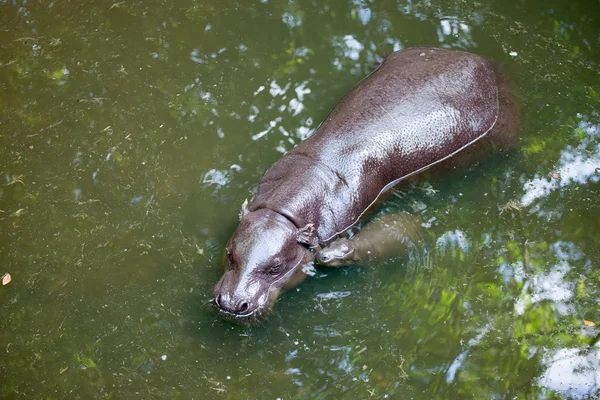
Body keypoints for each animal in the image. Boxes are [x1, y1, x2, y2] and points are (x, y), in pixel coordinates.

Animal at [213, 47, 516, 324]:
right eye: (230, 254)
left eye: (276, 268)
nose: (231, 304)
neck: (283, 212)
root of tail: (480, 60)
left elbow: (396, 226)